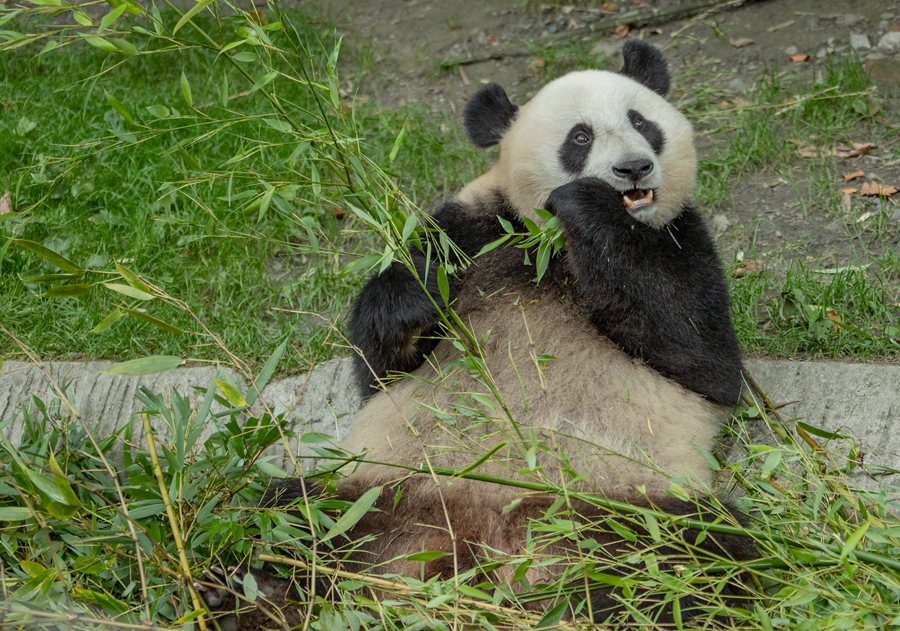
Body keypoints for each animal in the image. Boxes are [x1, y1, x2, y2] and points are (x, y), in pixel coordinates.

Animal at [202, 40, 752, 631]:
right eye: (579, 137)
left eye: (641, 122)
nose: (633, 168)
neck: (550, 242)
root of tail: (480, 550)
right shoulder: (472, 227)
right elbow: (379, 366)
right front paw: (415, 293)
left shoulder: (680, 234)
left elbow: (702, 354)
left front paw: (590, 204)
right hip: (375, 489)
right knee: (282, 513)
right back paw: (248, 587)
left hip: (625, 506)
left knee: (700, 556)